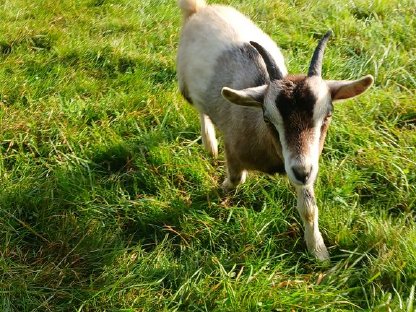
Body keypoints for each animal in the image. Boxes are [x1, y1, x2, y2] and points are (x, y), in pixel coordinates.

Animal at [176, 0, 374, 260]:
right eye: (267, 119)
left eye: (328, 115)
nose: (302, 172)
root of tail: (199, 10)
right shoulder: (235, 147)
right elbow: (236, 178)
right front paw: (222, 187)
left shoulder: (302, 161)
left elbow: (309, 207)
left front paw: (318, 251)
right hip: (186, 86)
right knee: (201, 109)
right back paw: (210, 144)